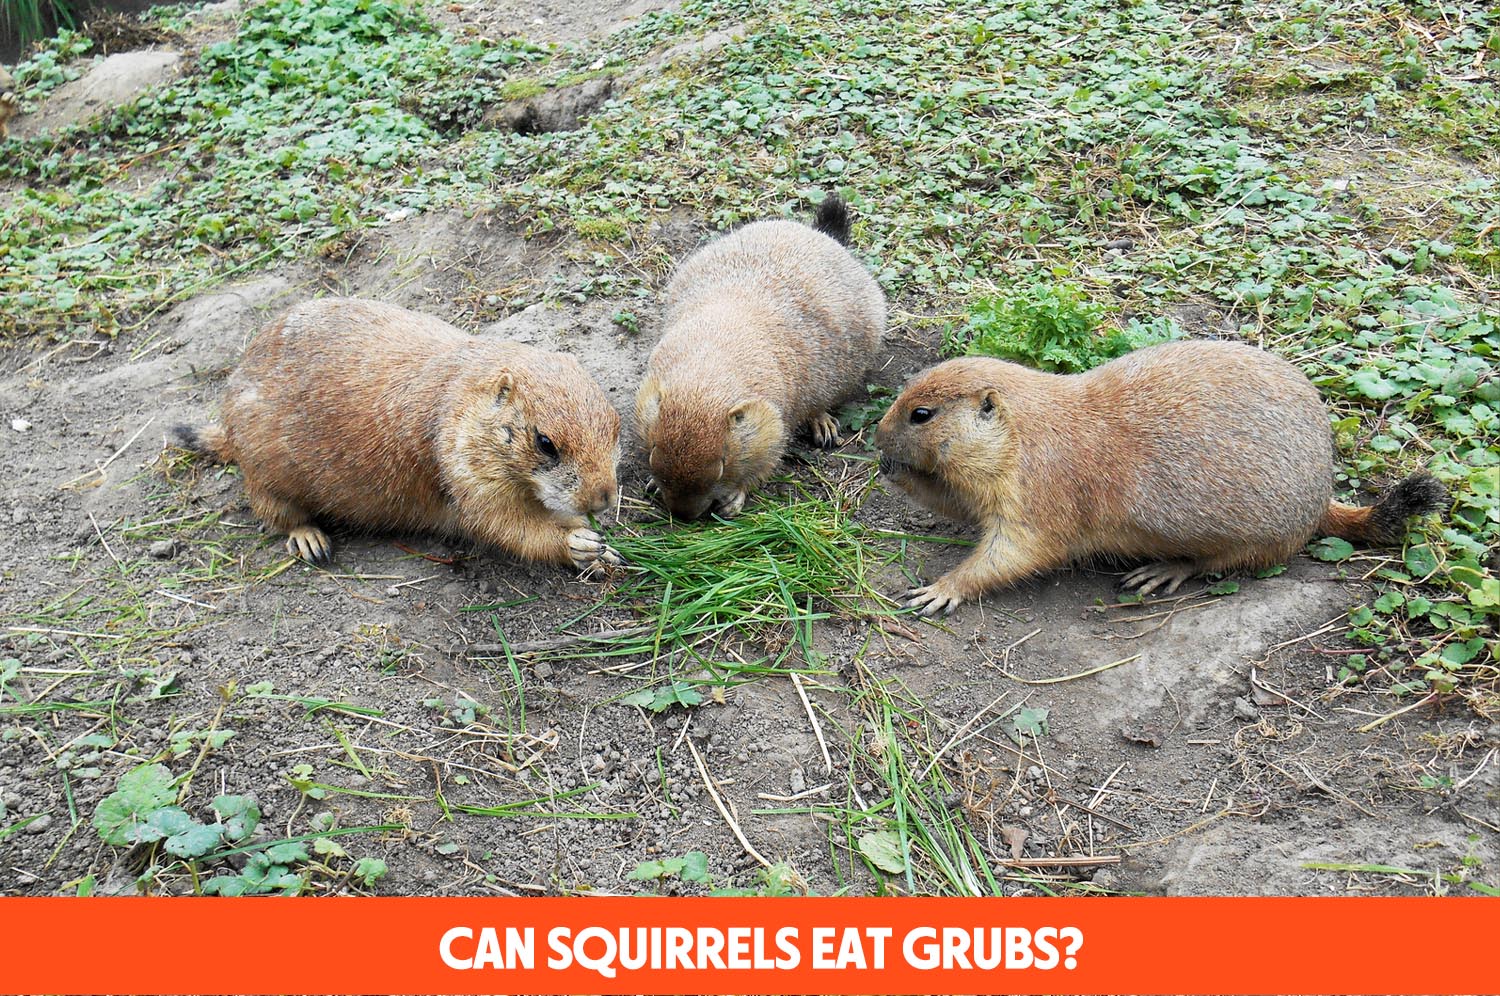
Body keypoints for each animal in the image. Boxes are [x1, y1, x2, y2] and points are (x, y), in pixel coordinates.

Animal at [173, 297, 624, 571]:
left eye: (616, 425)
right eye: (545, 443)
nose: (603, 498)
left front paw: (603, 546)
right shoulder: (464, 468)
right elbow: (505, 525)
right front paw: (582, 543)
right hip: (263, 471)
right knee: (273, 510)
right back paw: (308, 539)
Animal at [635, 195, 886, 519]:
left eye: (721, 466)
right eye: (653, 451)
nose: (683, 516)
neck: (709, 371)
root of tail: (824, 236)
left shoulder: (774, 423)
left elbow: (766, 462)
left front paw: (734, 499)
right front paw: (654, 483)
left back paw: (823, 424)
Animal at [876, 340, 1447, 616]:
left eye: (921, 414)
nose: (877, 436)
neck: (1026, 428)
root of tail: (1325, 498)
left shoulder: (1038, 488)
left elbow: (1016, 549)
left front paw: (940, 590)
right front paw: (899, 474)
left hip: (1255, 539)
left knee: (1215, 563)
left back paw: (1161, 571)